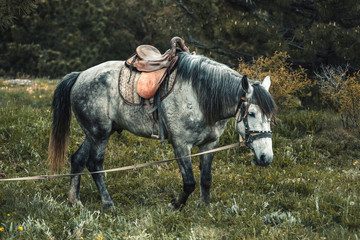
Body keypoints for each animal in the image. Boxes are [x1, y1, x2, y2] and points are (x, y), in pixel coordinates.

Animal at [47, 51, 278, 210]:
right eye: (252, 113)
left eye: (270, 117)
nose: (266, 157)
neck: (200, 96)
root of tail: (80, 76)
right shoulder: (181, 145)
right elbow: (189, 182)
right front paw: (175, 205)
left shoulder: (209, 145)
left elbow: (205, 179)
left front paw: (204, 208)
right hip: (99, 134)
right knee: (95, 164)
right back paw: (108, 203)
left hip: (95, 133)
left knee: (78, 159)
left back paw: (74, 201)